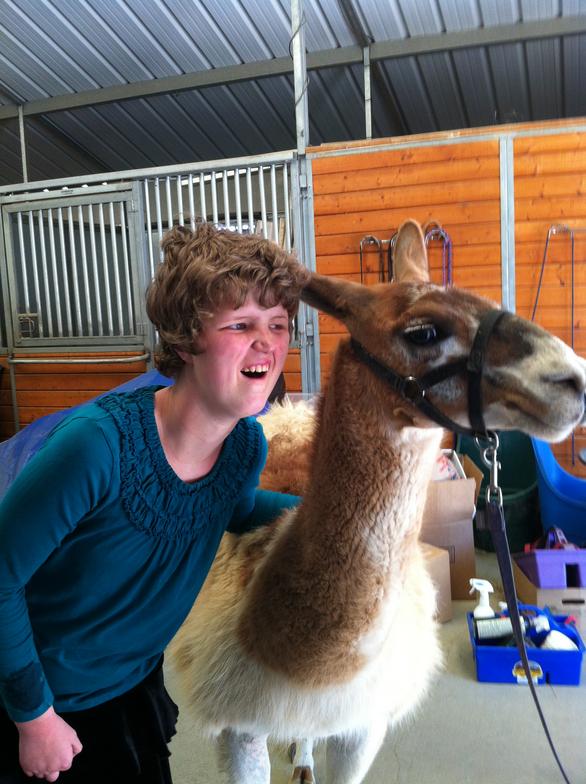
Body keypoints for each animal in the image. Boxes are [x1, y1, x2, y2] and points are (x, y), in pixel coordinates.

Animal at [169, 220, 586, 784]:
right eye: (423, 332)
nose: (573, 379)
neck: (313, 666)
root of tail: (286, 414)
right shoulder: (237, 722)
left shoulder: (363, 722)